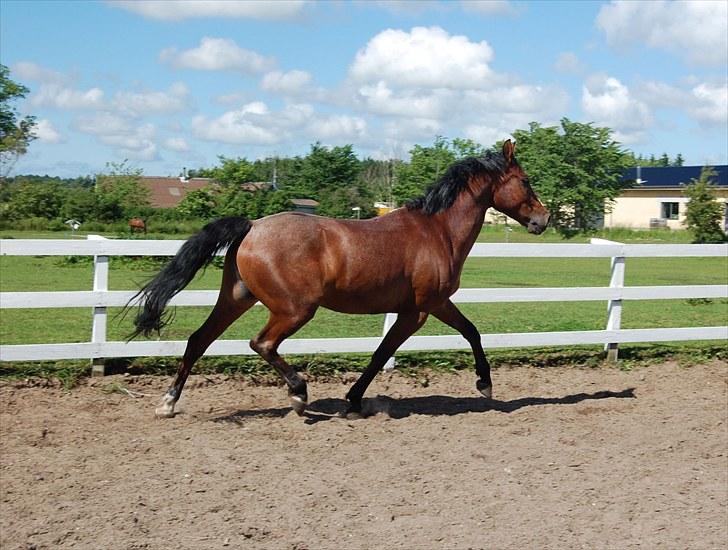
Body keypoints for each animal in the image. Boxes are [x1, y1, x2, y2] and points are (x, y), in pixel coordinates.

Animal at [128, 140, 548, 420]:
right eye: (526, 181)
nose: (543, 220)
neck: (436, 231)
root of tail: (252, 226)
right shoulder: (418, 311)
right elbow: (382, 353)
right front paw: (353, 399)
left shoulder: (435, 304)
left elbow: (470, 331)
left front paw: (484, 383)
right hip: (295, 310)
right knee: (261, 343)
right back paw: (299, 394)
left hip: (236, 299)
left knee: (198, 340)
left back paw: (168, 403)